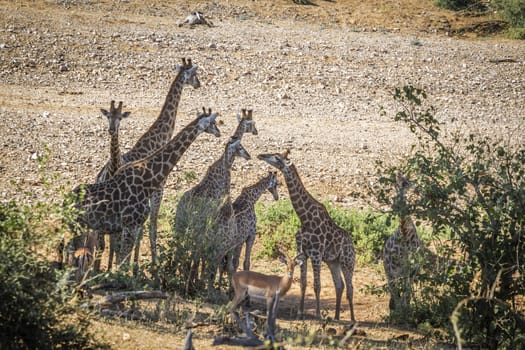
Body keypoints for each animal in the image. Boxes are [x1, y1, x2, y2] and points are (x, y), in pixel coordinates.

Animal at [67, 108, 219, 278]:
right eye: (212, 122)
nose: (219, 133)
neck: (148, 180)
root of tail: (66, 200)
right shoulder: (130, 226)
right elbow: (122, 262)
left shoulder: (132, 226)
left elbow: (123, 260)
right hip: (79, 226)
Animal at [95, 57, 200, 270]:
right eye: (194, 74)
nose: (198, 84)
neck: (157, 140)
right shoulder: (159, 188)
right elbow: (151, 226)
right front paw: (152, 262)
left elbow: (140, 230)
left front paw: (135, 265)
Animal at [258, 149, 356, 322]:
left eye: (276, 157)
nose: (261, 155)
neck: (304, 217)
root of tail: (352, 245)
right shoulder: (302, 253)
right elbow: (303, 283)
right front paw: (300, 312)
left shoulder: (316, 254)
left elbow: (317, 285)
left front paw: (317, 314)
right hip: (333, 262)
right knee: (340, 285)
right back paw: (336, 316)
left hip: (347, 261)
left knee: (350, 287)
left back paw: (352, 319)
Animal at [382, 175, 424, 312]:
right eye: (396, 183)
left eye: (406, 182)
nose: (398, 202)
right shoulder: (400, 270)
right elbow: (401, 294)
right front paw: (401, 312)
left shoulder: (412, 269)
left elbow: (407, 292)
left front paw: (408, 310)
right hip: (389, 272)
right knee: (394, 292)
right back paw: (395, 310)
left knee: (402, 292)